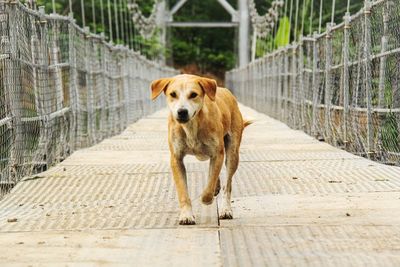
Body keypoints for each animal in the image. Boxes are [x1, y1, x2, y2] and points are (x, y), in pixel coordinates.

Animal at [150, 74, 250, 225]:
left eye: (193, 94)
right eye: (173, 94)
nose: (182, 111)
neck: (191, 127)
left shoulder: (217, 154)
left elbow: (209, 185)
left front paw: (207, 198)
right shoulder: (176, 159)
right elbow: (183, 190)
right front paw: (186, 215)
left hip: (232, 153)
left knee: (227, 184)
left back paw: (225, 208)